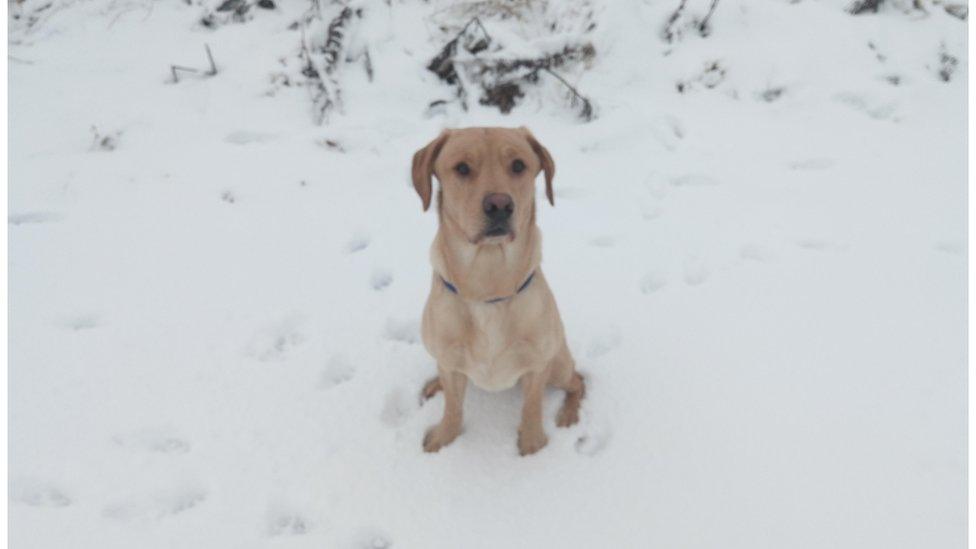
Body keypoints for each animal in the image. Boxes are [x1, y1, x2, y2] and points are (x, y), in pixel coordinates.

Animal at [408, 127, 584, 454]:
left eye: (518, 165)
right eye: (462, 168)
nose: (500, 204)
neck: (487, 287)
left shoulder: (537, 367)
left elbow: (531, 408)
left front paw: (532, 446)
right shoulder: (450, 363)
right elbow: (453, 408)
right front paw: (444, 439)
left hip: (558, 366)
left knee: (578, 380)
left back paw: (568, 414)